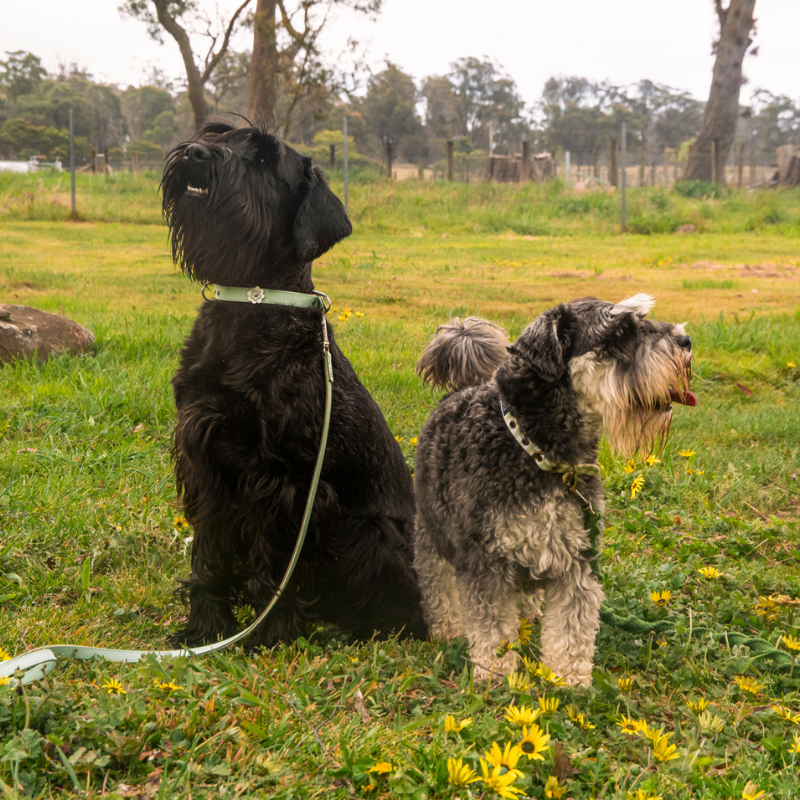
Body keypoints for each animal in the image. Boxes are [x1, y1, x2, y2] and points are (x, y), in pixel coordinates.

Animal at [159, 120, 428, 648]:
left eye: (265, 160)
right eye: (218, 134)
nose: (197, 153)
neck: (251, 304)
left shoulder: (284, 479)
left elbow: (277, 561)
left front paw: (270, 633)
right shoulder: (205, 456)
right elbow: (209, 553)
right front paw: (206, 628)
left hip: (372, 533)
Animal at [412, 296, 692, 684]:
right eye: (621, 331)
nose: (686, 341)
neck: (543, 454)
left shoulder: (577, 558)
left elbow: (573, 628)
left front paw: (568, 679)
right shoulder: (485, 560)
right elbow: (492, 628)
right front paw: (497, 676)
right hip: (431, 532)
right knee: (437, 585)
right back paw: (447, 628)